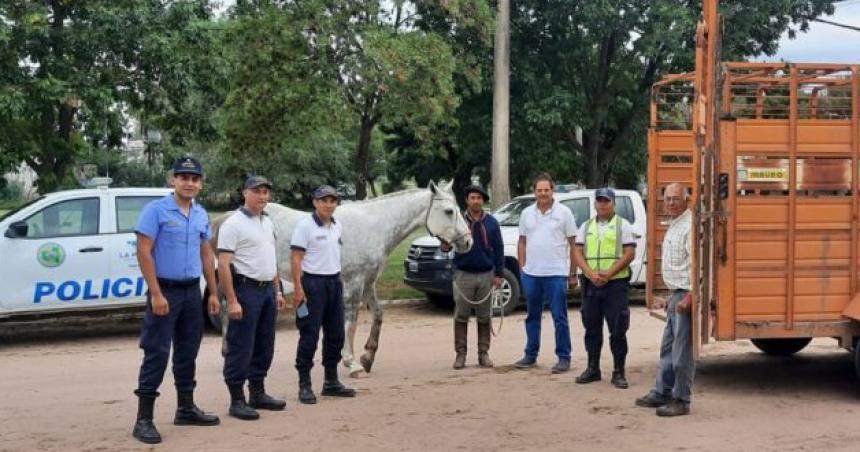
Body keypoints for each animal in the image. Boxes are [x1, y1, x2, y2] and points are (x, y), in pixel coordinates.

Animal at [214, 182, 470, 376]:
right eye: (449, 211)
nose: (468, 242)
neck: (374, 225)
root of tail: (227, 217)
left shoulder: (368, 282)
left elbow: (378, 315)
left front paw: (368, 356)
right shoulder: (354, 283)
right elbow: (351, 320)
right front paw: (351, 362)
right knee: (229, 308)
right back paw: (228, 351)